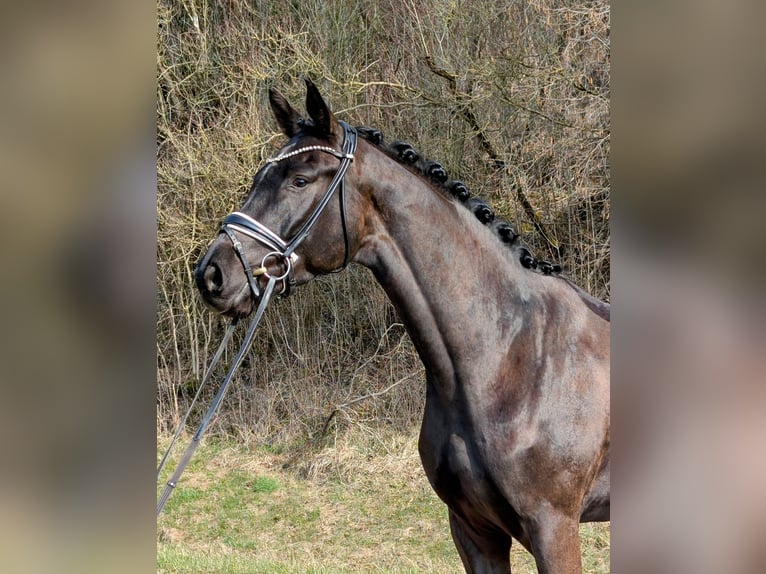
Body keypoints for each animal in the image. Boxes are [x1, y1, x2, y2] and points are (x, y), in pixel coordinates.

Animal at [195, 79, 610, 574]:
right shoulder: (474, 531)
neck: (509, 355)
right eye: (260, 176)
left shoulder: (554, 528)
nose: (212, 274)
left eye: (300, 180)